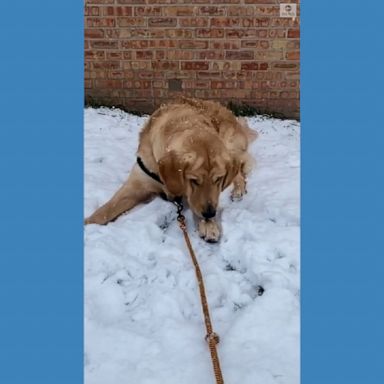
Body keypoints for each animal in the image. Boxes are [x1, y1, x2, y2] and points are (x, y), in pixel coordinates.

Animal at [85, 99, 256, 243]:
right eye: (194, 181)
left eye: (218, 179)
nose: (209, 214)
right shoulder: (136, 185)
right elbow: (104, 211)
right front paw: (88, 223)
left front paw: (209, 225)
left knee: (240, 174)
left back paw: (238, 191)